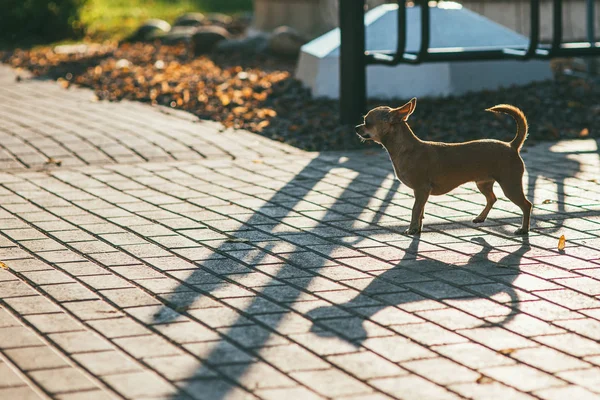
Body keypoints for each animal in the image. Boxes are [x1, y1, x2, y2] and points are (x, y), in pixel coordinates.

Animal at [354, 98, 532, 234]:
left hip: (510, 186)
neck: (406, 148)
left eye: (367, 122)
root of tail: (511, 145)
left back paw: (524, 229)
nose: (355, 127)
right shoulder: (421, 193)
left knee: (526, 205)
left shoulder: (421, 190)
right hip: (483, 183)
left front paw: (412, 230)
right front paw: (418, 229)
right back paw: (480, 217)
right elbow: (420, 211)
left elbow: (415, 210)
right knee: (492, 198)